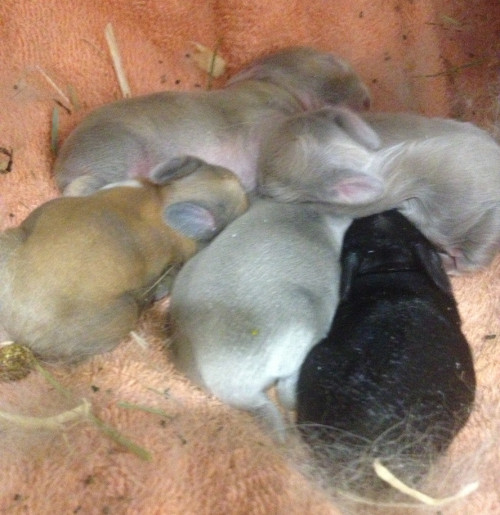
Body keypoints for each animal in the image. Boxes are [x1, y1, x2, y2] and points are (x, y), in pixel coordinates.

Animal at [54, 46, 370, 197]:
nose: (368, 102)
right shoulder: (265, 117)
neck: (275, 84)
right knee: (82, 189)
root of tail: (59, 166)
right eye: (333, 62)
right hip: (116, 152)